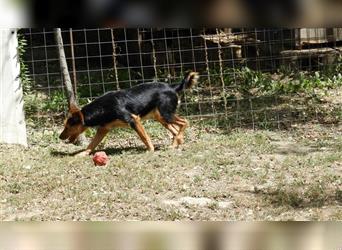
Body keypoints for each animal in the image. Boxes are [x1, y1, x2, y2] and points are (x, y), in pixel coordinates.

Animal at [58, 71, 198, 155]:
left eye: (68, 126)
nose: (60, 137)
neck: (102, 108)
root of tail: (172, 87)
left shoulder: (133, 119)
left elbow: (144, 137)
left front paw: (150, 150)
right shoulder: (103, 129)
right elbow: (91, 145)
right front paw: (82, 154)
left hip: (166, 114)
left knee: (184, 122)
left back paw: (176, 142)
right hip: (161, 117)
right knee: (175, 130)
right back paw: (176, 144)